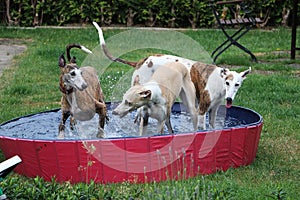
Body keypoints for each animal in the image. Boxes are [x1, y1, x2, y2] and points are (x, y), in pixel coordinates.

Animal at [94, 22, 251, 130]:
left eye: (237, 84)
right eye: (227, 83)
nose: (229, 99)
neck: (218, 80)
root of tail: (142, 61)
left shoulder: (214, 109)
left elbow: (213, 126)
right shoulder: (202, 109)